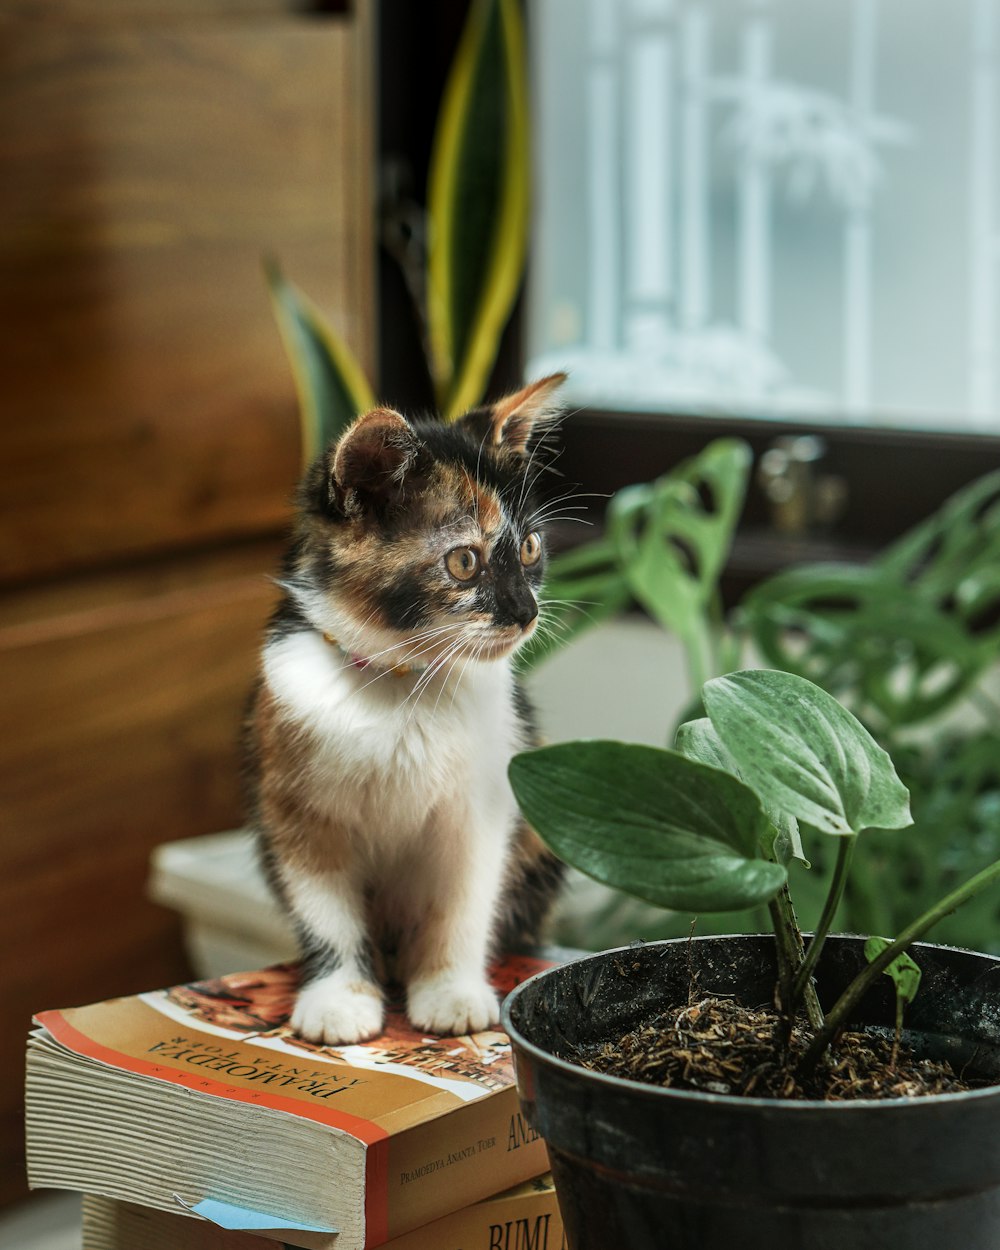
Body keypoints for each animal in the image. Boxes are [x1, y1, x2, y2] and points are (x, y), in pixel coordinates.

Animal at [245, 370, 567, 1045]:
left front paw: (450, 991)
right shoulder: (292, 806)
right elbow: (323, 907)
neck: (403, 682)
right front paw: (339, 998)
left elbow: (464, 901)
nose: (526, 612)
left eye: (529, 548)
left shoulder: (482, 805)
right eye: (464, 561)